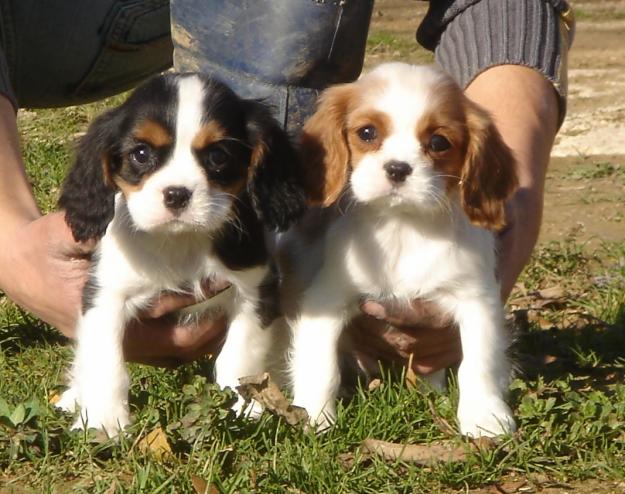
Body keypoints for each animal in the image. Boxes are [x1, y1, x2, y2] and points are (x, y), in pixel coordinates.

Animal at [57, 71, 306, 434]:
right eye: (141, 153)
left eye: (218, 156)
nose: (177, 194)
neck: (180, 241)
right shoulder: (105, 294)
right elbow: (106, 361)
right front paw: (104, 421)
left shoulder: (254, 289)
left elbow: (239, 355)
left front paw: (240, 407)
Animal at [282, 61, 516, 436]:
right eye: (366, 133)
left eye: (438, 142)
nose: (397, 168)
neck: (403, 226)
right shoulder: (326, 298)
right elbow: (321, 363)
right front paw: (313, 415)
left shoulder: (477, 300)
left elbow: (480, 362)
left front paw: (485, 417)